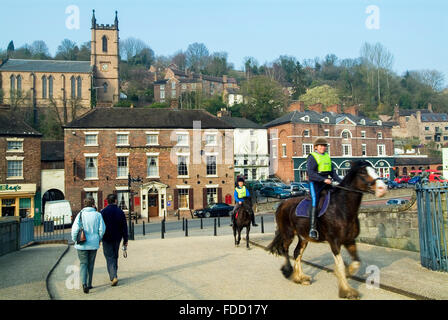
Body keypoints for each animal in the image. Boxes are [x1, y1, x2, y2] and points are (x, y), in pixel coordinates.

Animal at [268, 161, 386, 298]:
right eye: (362, 172)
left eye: (375, 170)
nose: (383, 188)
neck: (341, 208)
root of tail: (282, 203)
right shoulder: (334, 241)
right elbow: (340, 265)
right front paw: (346, 291)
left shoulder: (350, 240)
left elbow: (356, 262)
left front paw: (347, 272)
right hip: (288, 234)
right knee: (285, 250)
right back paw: (288, 271)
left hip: (303, 238)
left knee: (297, 253)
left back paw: (300, 278)